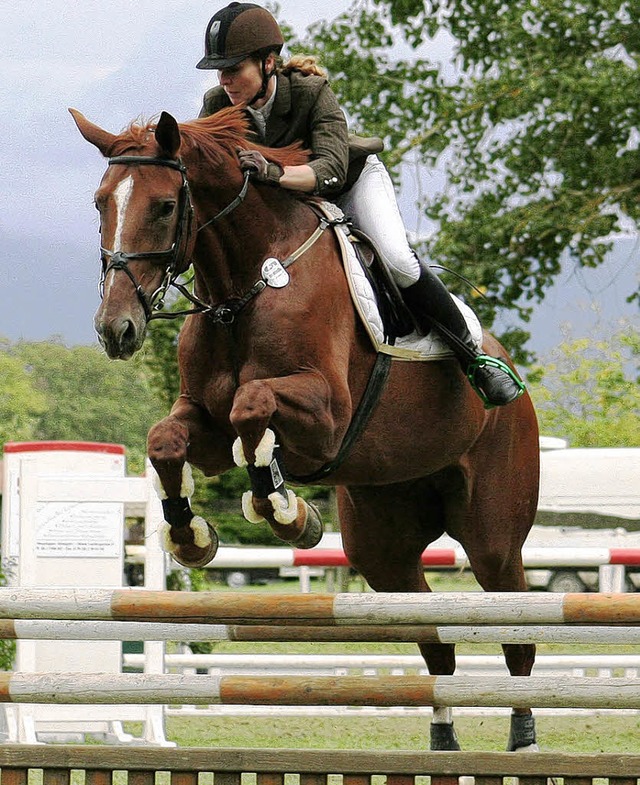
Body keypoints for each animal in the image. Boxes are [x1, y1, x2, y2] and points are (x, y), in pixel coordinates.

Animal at [70, 105, 540, 752]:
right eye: (100, 203)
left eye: (164, 206)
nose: (115, 329)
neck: (241, 289)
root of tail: (512, 370)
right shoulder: (203, 425)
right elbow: (168, 440)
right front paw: (193, 535)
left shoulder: (327, 418)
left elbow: (252, 405)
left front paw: (285, 510)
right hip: (384, 546)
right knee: (432, 637)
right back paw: (444, 741)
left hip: (493, 533)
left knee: (513, 623)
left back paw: (524, 735)